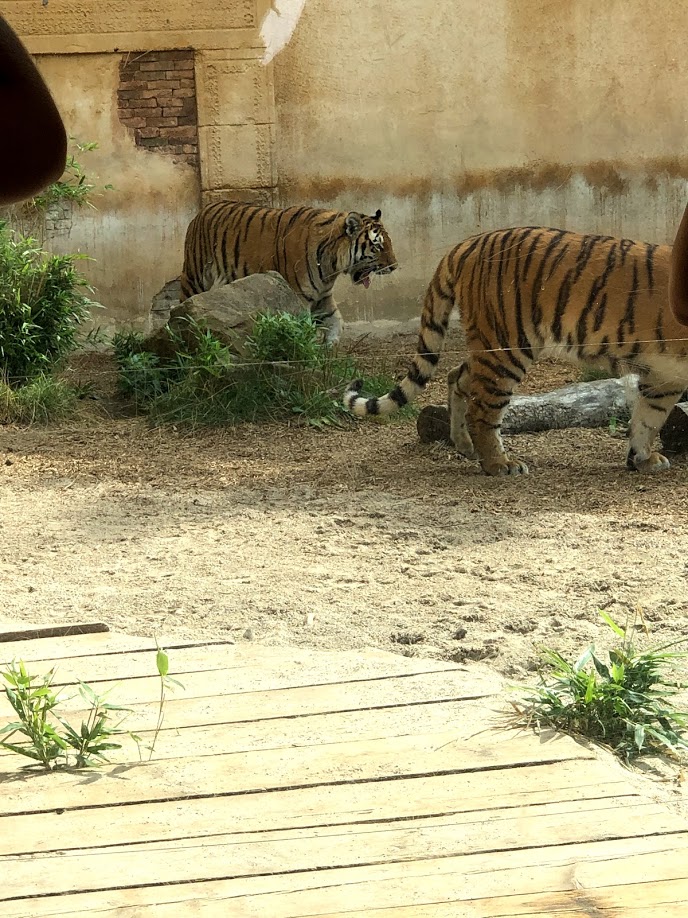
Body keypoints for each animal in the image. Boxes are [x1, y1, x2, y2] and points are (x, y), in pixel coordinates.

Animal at [180, 200, 397, 344]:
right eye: (378, 246)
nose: (394, 266)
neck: (331, 267)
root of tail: (200, 212)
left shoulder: (323, 298)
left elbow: (336, 323)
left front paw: (329, 352)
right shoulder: (298, 299)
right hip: (194, 278)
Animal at [344, 225, 688, 476]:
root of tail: (467, 244)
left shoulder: (663, 376)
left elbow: (648, 418)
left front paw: (642, 458)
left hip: (491, 347)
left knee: (457, 377)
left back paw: (464, 445)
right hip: (506, 348)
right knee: (482, 410)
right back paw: (499, 464)